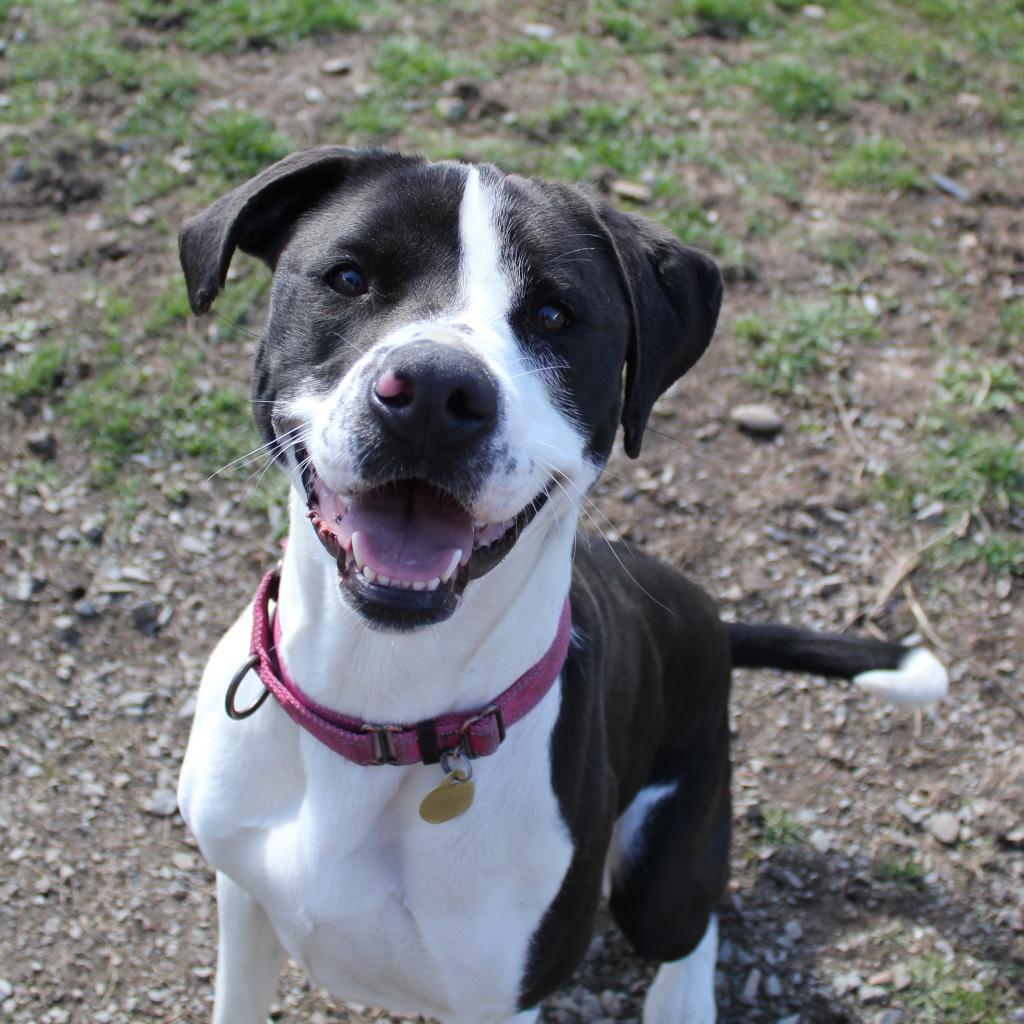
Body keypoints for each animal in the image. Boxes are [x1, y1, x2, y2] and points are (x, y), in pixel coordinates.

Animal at [174, 146, 942, 1024]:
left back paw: (680, 1000)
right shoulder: (242, 896)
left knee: (693, 919)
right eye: (348, 278)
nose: (434, 392)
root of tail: (712, 622)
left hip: (660, 864)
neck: (380, 711)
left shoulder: (504, 997)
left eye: (551, 315)